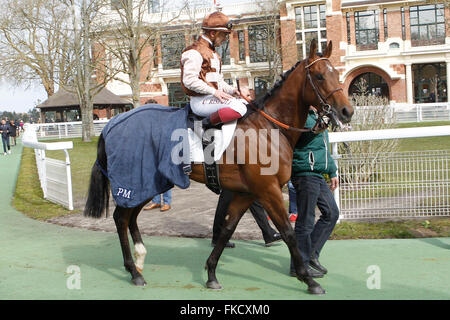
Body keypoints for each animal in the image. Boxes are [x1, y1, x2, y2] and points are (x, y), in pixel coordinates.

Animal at [83, 40, 352, 296]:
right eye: (319, 76)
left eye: (335, 74)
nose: (346, 111)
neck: (268, 128)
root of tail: (113, 123)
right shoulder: (269, 190)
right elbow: (288, 232)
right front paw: (308, 279)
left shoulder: (247, 193)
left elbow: (226, 229)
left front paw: (211, 274)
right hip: (135, 182)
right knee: (121, 218)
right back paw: (133, 270)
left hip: (150, 183)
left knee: (130, 218)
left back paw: (138, 262)